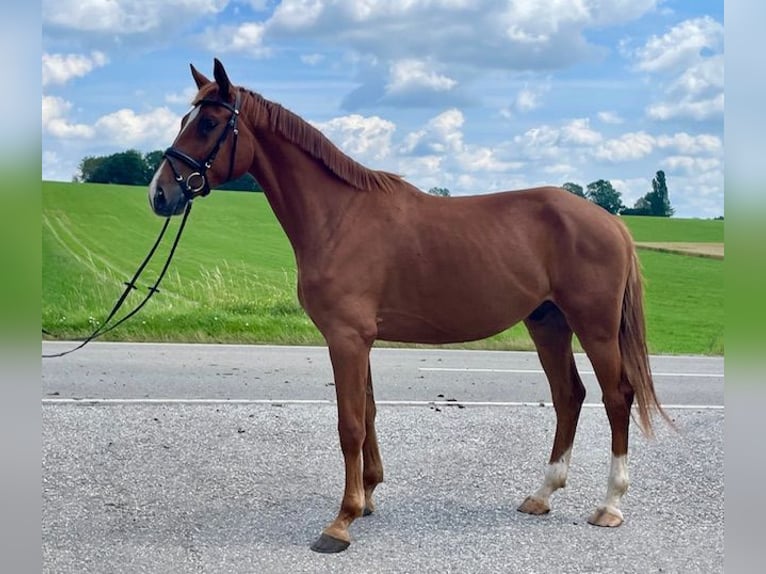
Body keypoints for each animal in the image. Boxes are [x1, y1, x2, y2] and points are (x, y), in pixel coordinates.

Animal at [147, 60, 668, 556]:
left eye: (209, 123)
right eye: (186, 119)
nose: (160, 194)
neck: (339, 217)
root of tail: (611, 222)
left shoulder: (347, 338)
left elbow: (350, 425)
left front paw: (341, 522)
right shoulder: (360, 339)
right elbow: (369, 414)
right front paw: (367, 497)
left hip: (595, 328)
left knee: (617, 397)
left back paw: (610, 505)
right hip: (548, 323)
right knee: (568, 396)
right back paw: (541, 495)